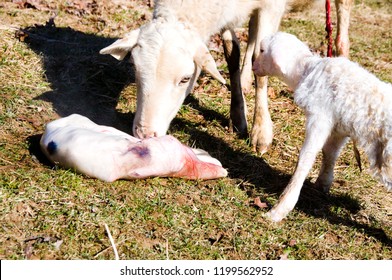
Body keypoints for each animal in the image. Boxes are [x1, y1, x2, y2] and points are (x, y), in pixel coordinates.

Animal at [251, 31, 392, 222]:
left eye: (262, 50)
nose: (253, 65)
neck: (307, 70)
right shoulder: (339, 126)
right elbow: (329, 153)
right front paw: (323, 183)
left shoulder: (320, 117)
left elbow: (306, 158)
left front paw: (279, 209)